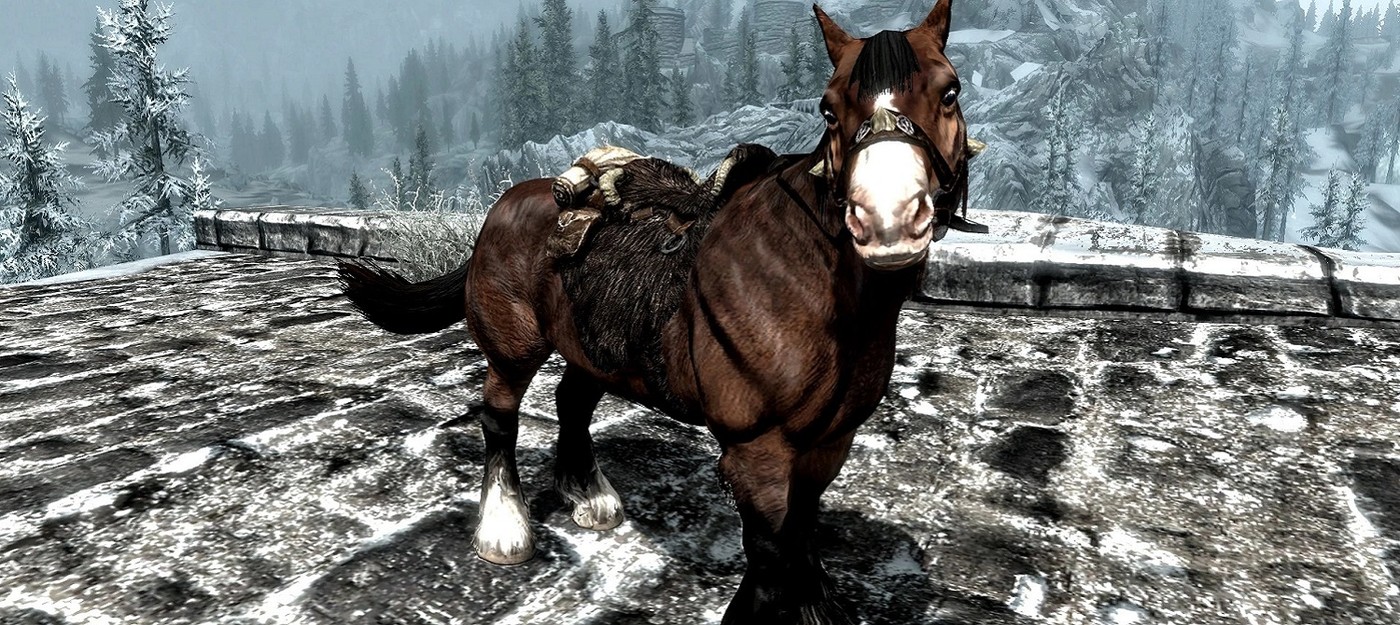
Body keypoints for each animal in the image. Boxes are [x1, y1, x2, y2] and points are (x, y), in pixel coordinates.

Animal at [338, 2, 970, 622]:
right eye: (828, 109)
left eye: (950, 92)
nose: (889, 221)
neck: (810, 286)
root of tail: (501, 207)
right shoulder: (756, 451)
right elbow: (770, 550)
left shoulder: (830, 441)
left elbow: (801, 530)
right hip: (514, 349)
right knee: (499, 417)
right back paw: (504, 529)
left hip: (593, 348)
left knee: (572, 403)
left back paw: (589, 496)